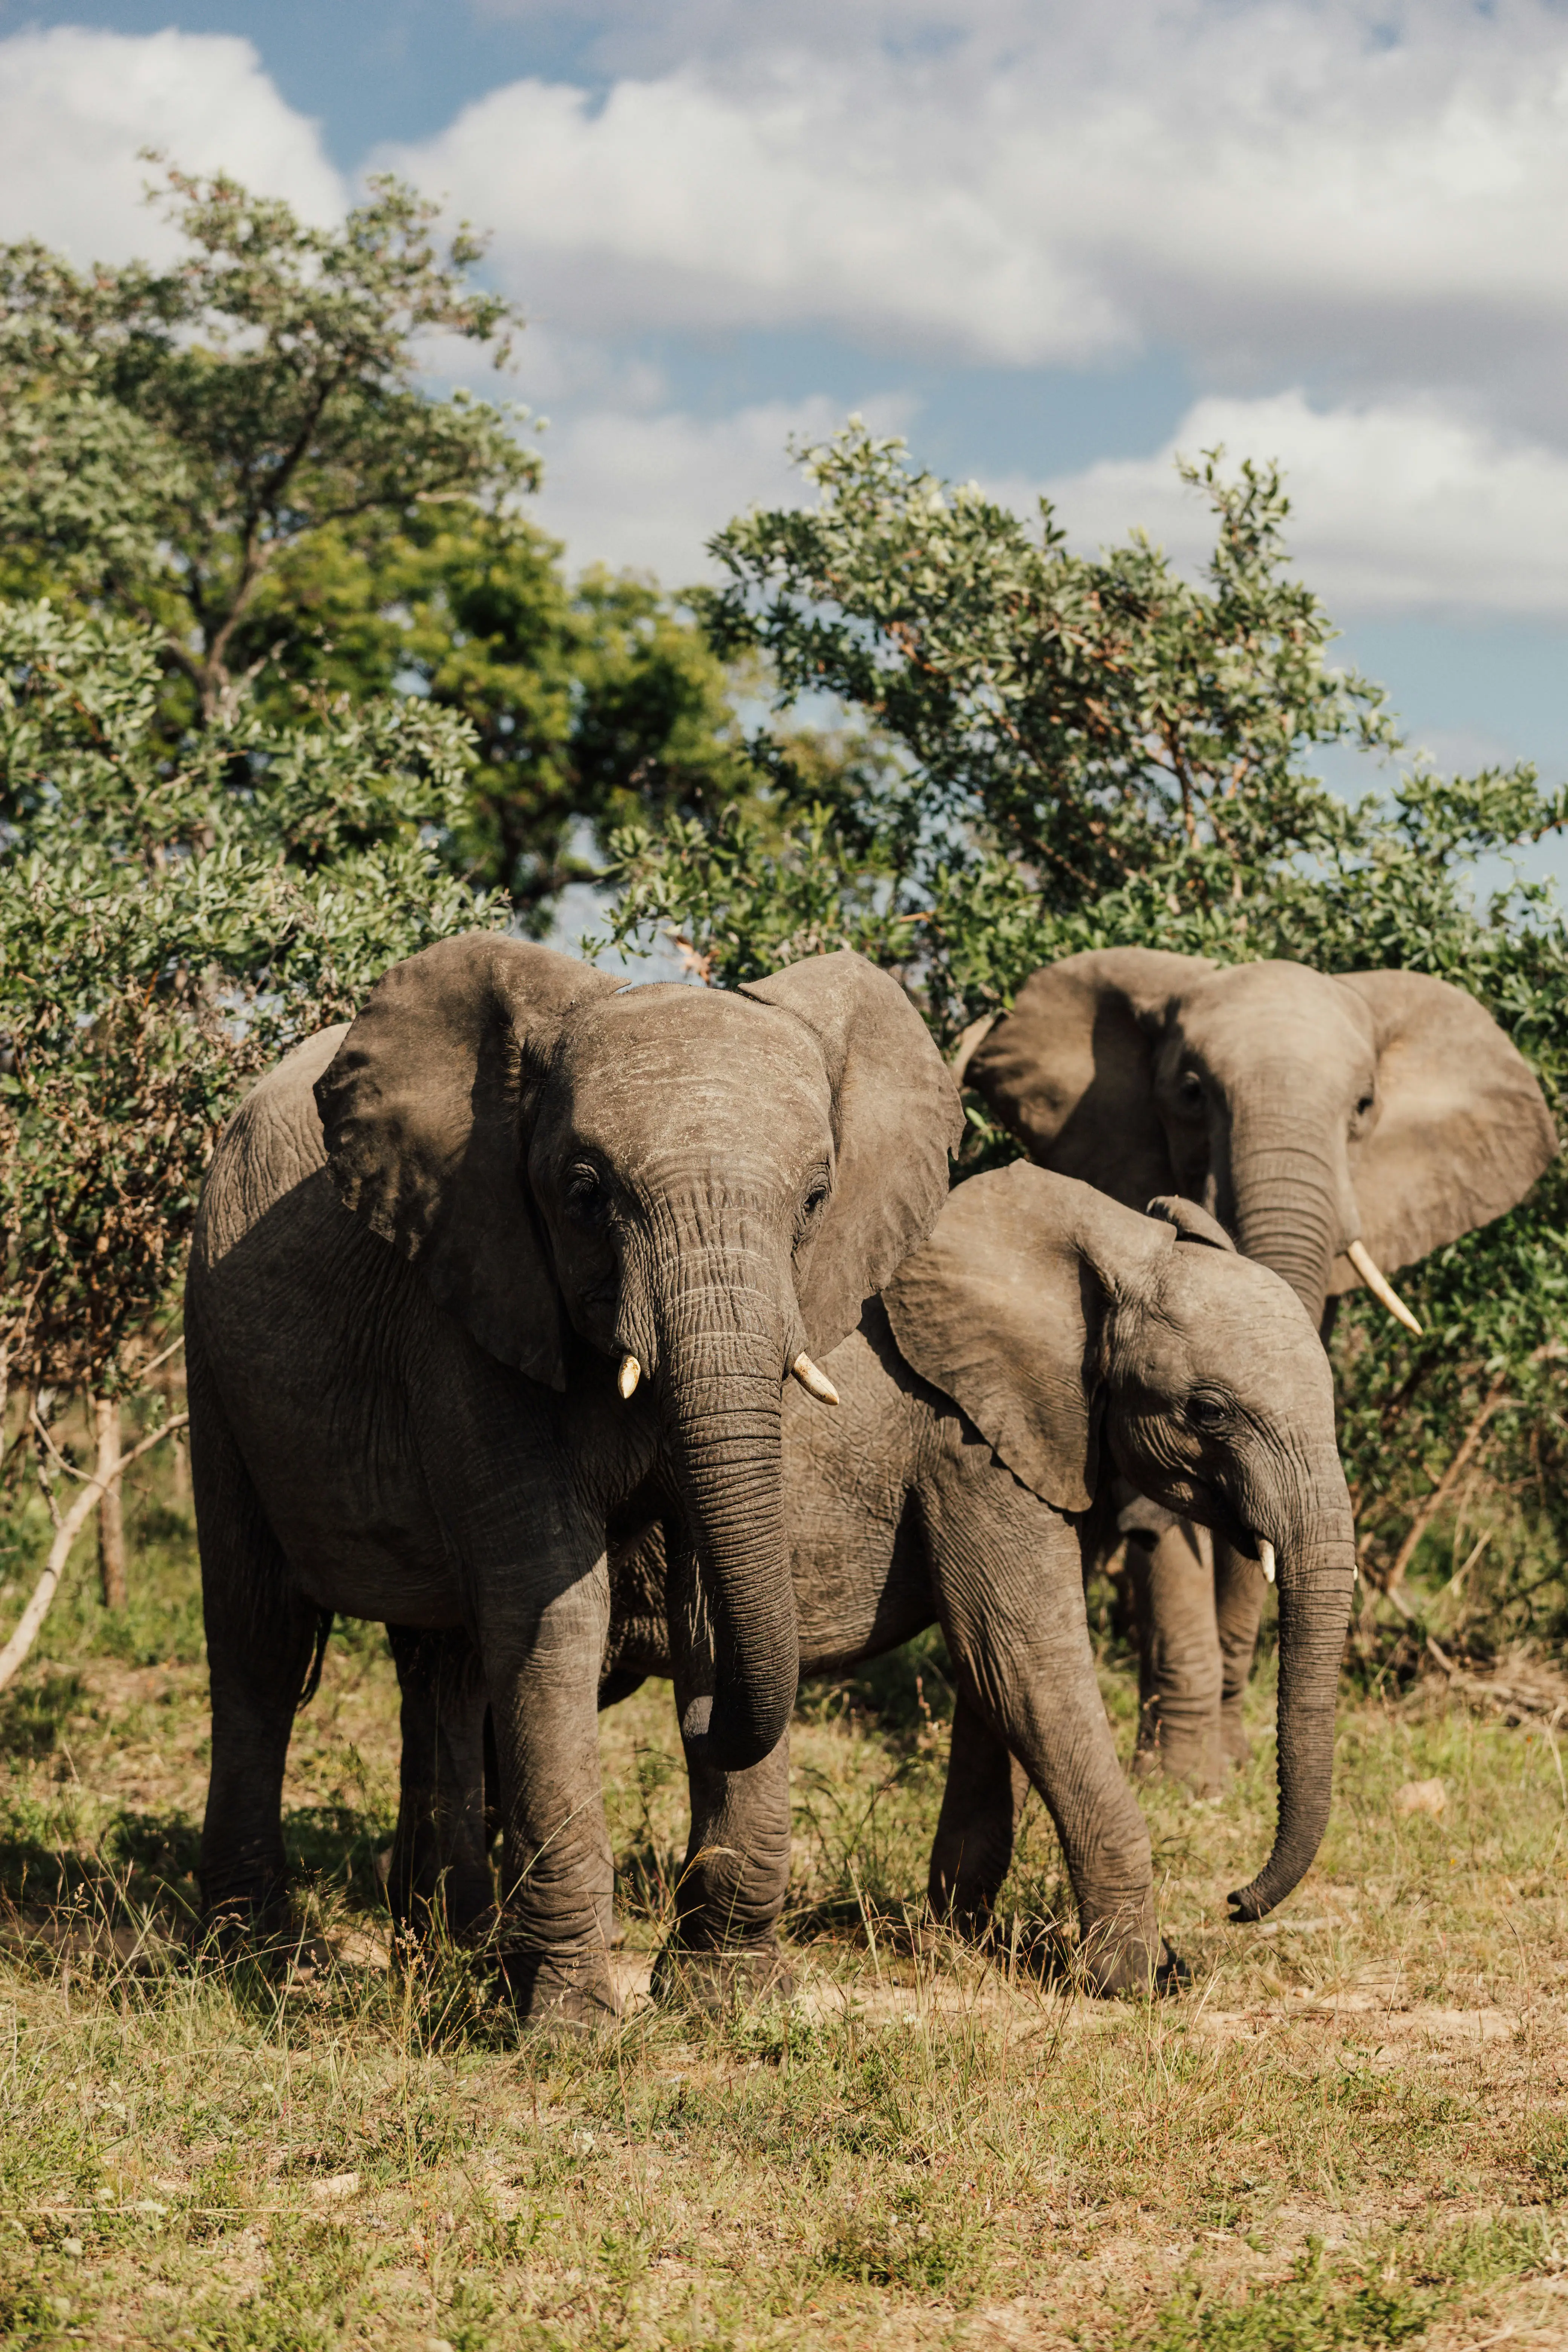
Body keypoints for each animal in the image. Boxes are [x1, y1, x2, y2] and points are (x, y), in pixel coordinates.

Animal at [183, 932, 961, 2025]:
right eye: (586, 1192)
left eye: (816, 1200)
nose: (708, 1724)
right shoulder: (468, 1302)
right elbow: (555, 1610)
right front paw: (571, 2027)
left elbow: (711, 1600)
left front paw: (732, 2001)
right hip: (211, 1342)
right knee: (260, 1634)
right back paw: (255, 1955)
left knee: (442, 1662)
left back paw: (451, 1942)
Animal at [595, 1162, 1355, 1997]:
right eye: (1210, 1411)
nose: (1235, 1902)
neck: (1110, 1244)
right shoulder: (966, 1442)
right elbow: (1023, 1663)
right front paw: (1139, 1980)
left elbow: (992, 1681)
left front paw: (960, 1944)